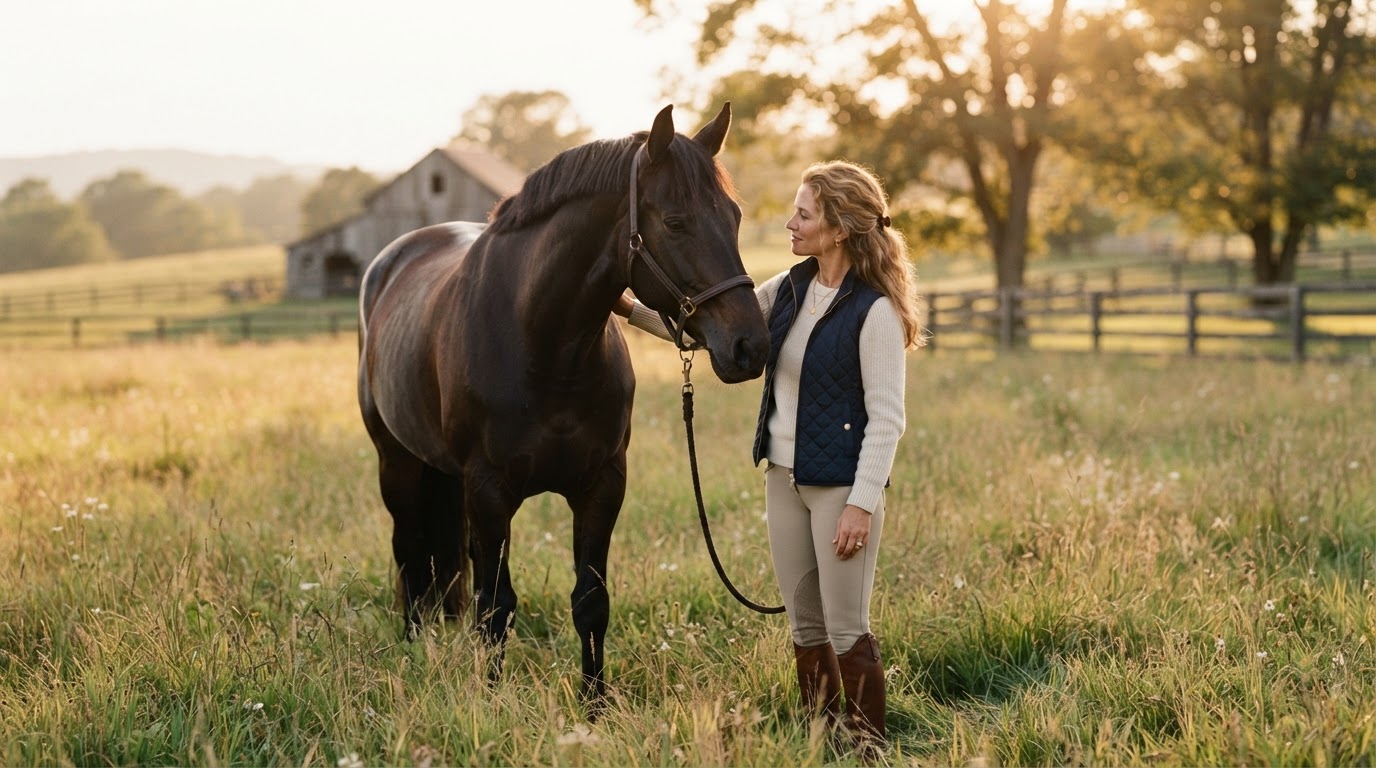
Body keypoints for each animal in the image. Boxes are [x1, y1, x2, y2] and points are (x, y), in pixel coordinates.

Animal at [356, 103, 768, 704]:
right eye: (675, 222)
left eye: (735, 217)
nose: (750, 346)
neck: (545, 346)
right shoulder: (489, 490)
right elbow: (495, 608)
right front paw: (491, 700)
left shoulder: (601, 485)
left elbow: (590, 603)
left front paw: (594, 705)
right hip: (399, 465)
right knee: (411, 559)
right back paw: (413, 649)